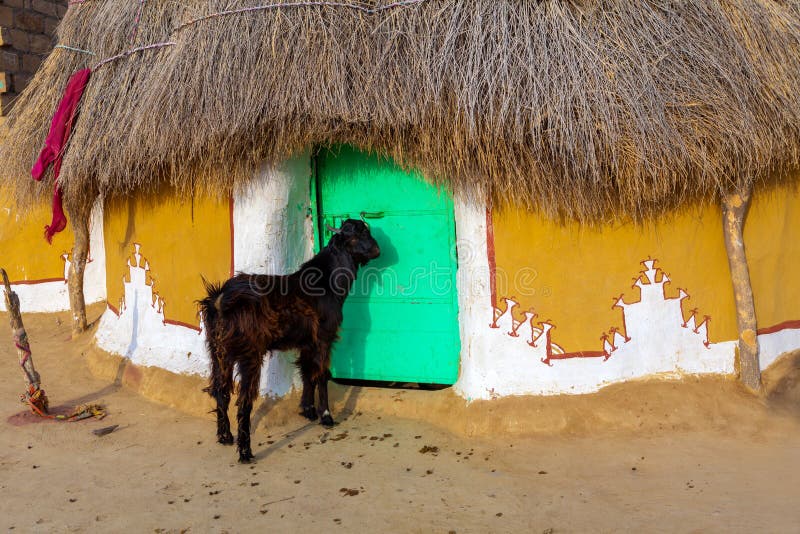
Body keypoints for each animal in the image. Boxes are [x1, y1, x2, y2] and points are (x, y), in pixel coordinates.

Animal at [197, 220, 378, 462]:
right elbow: (322, 375)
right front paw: (326, 417)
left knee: (220, 390)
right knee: (243, 400)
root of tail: (219, 300)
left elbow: (307, 372)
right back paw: (245, 452)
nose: (377, 250)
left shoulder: (307, 342)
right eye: (360, 234)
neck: (326, 282)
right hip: (249, 354)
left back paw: (225, 437)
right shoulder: (323, 338)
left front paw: (308, 410)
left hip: (218, 352)